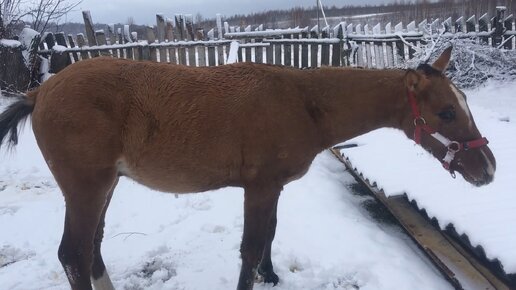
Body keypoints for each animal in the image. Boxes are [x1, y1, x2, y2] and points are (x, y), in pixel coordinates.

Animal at [0, 46, 496, 288]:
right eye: (446, 112)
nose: (488, 168)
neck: (303, 103)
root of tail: (40, 93)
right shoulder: (258, 189)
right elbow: (251, 248)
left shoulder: (271, 189)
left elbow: (270, 235)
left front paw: (271, 276)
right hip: (86, 190)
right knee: (73, 254)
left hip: (105, 188)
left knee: (92, 248)